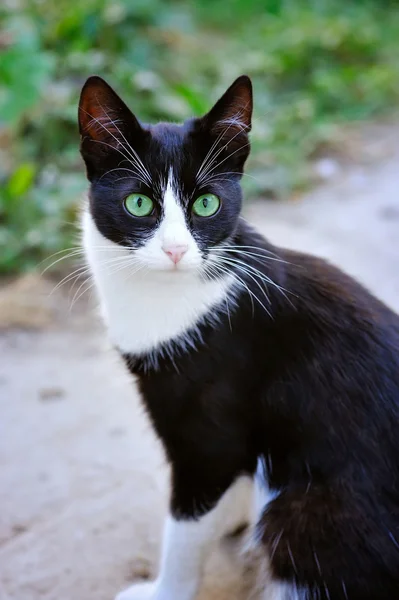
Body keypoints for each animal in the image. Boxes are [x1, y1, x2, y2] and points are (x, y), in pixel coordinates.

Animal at [78, 76, 399, 600]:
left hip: (304, 516)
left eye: (206, 203)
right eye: (139, 203)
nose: (175, 249)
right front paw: (230, 514)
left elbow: (186, 526)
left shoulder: (211, 434)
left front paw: (165, 589)